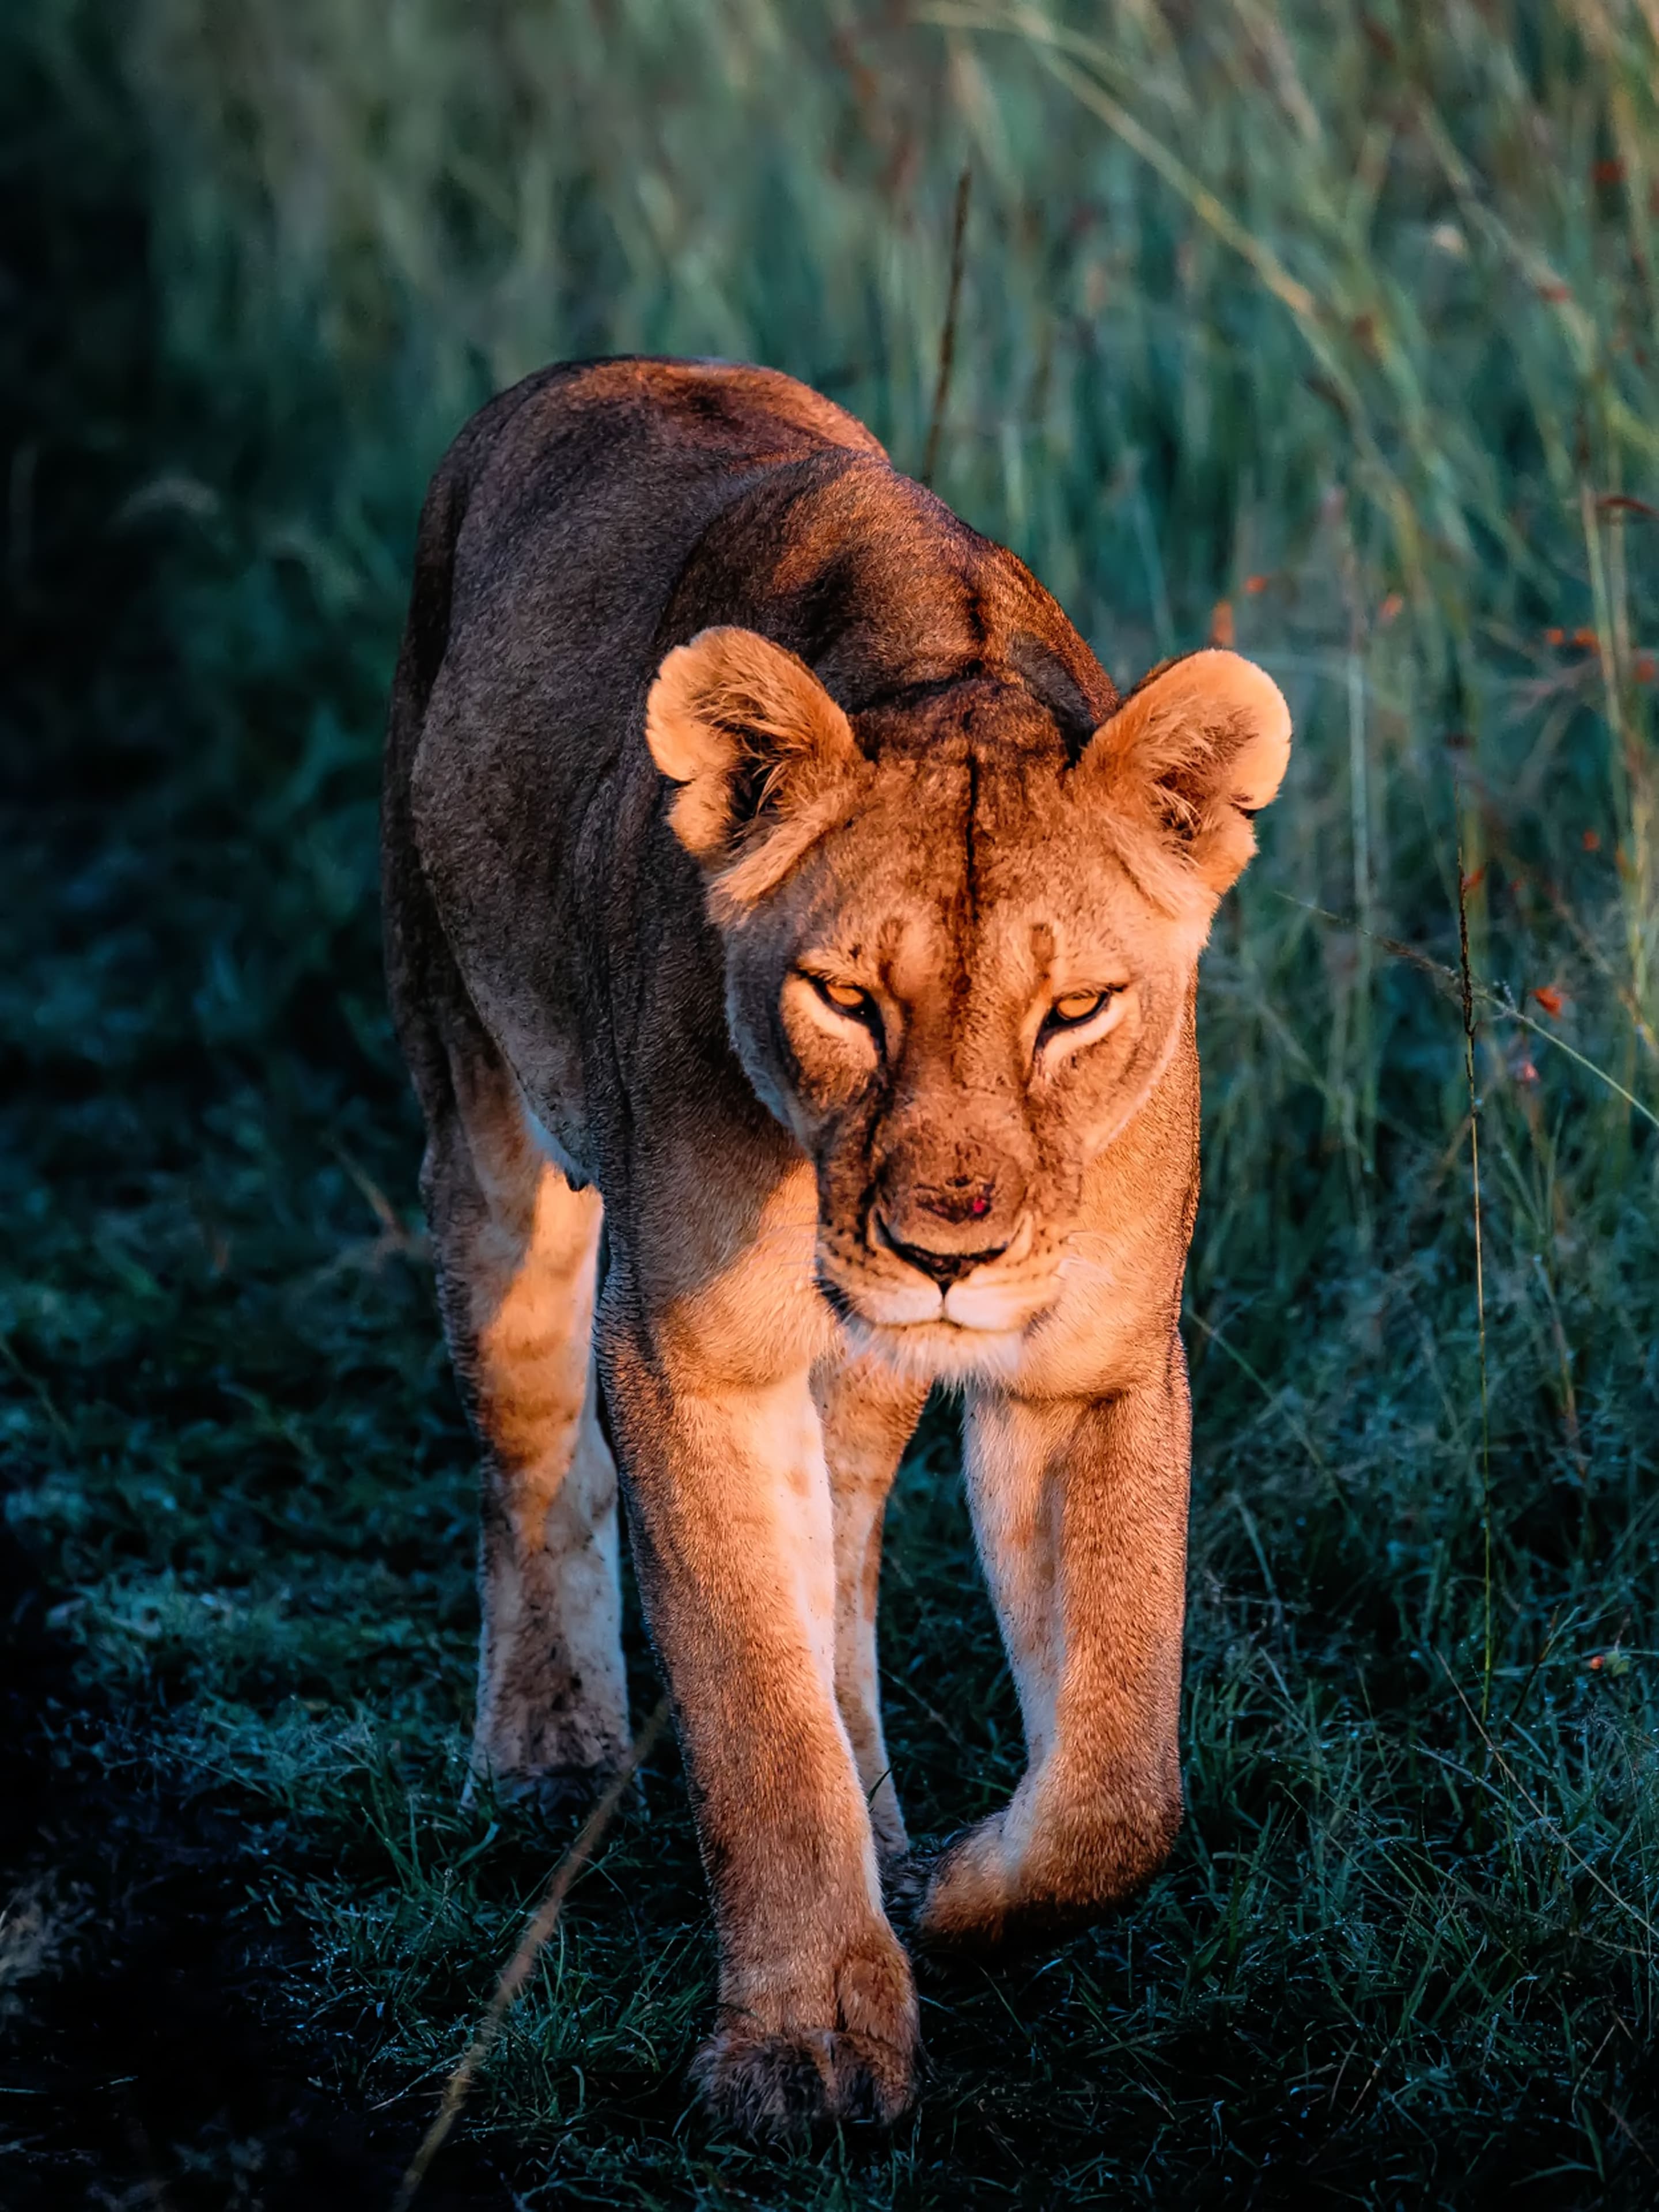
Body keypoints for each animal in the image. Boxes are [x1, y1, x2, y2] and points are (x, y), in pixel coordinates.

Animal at [382, 356, 1291, 2134]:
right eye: (847, 999)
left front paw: (951, 1890)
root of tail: (576, 377)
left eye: (1076, 1008)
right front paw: (803, 2044)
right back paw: (544, 1744)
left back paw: (884, 1825)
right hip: (479, 1097)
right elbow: (755, 1713)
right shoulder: (688, 1363)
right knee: (531, 1451)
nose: (948, 1252)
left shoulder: (1088, 1370)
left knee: (848, 1567)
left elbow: (1118, 1778)